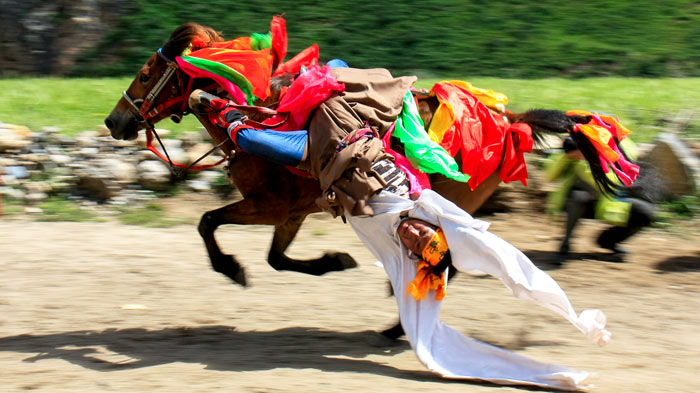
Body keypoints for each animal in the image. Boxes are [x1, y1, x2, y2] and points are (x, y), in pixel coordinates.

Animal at [102, 22, 612, 290]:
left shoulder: (270, 205)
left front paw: (231, 268)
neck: (261, 114)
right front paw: (333, 260)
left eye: (146, 73)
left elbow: (208, 221)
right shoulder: (294, 211)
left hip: (448, 202)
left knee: (447, 258)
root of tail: (510, 120)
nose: (114, 121)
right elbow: (276, 258)